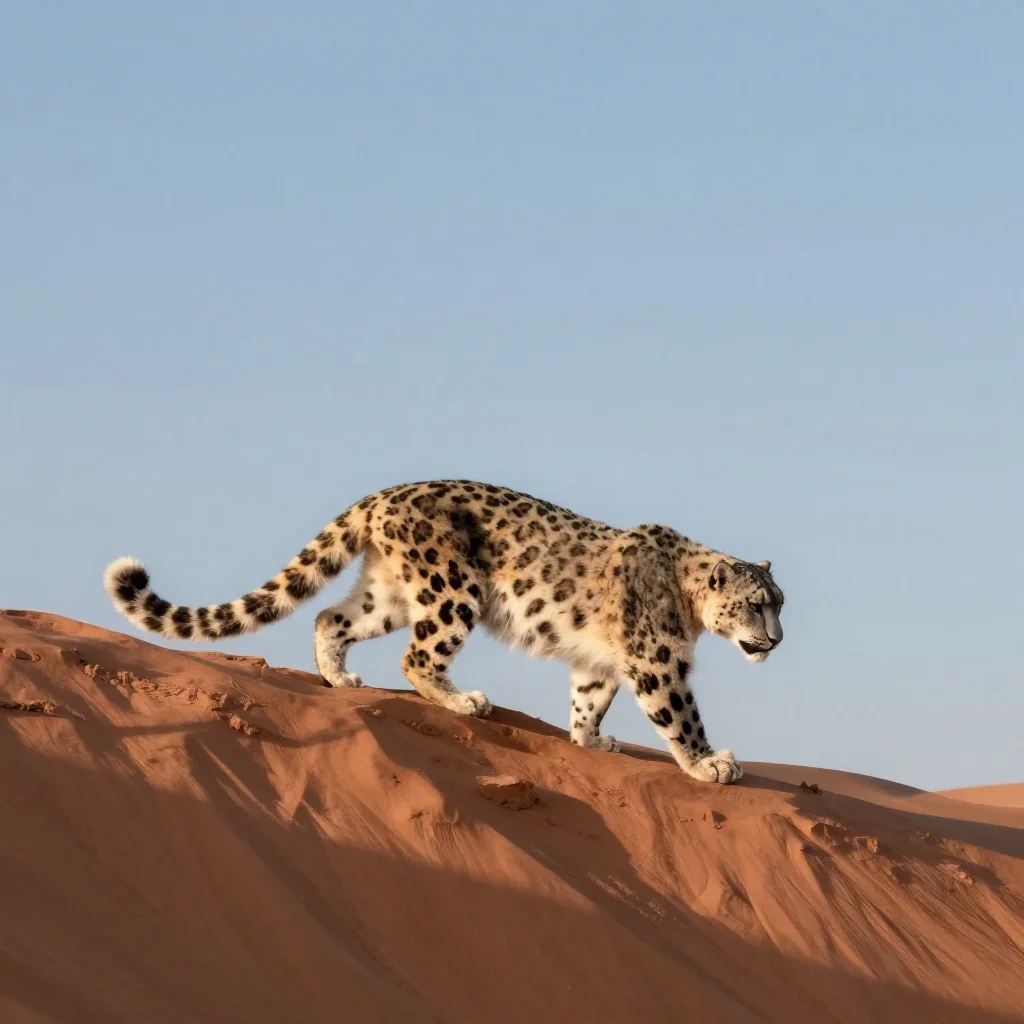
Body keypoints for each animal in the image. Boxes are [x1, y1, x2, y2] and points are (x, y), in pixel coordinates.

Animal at [104, 480, 784, 784]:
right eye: (757, 605)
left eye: (781, 604)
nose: (776, 640)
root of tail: (383, 495)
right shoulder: (657, 657)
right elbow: (680, 713)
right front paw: (709, 763)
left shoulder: (602, 661)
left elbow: (588, 700)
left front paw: (592, 741)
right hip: (453, 591)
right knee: (417, 658)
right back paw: (463, 701)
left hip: (389, 594)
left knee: (331, 616)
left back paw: (339, 678)